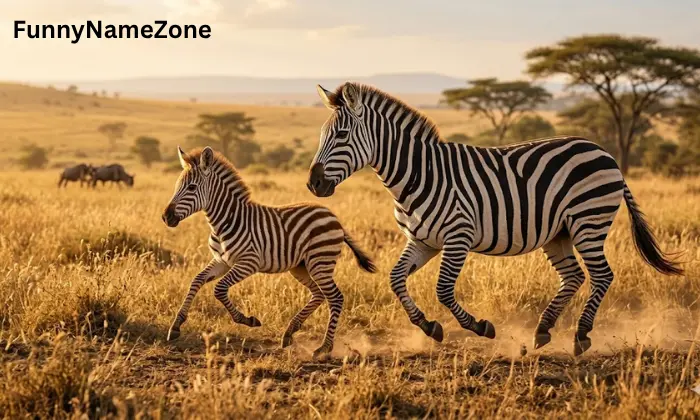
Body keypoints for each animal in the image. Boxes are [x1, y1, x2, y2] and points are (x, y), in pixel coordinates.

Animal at [162, 146, 377, 358]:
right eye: (177, 186)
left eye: (191, 188)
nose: (166, 217)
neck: (226, 221)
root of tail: (332, 215)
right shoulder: (221, 261)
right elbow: (196, 281)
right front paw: (176, 326)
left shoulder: (248, 262)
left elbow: (219, 289)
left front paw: (248, 320)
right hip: (301, 267)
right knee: (319, 294)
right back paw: (290, 333)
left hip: (320, 262)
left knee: (335, 297)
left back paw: (324, 348)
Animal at [306, 82, 683, 356]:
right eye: (322, 136)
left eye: (341, 136)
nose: (313, 184)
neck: (418, 175)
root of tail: (604, 152)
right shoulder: (422, 240)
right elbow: (396, 280)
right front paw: (429, 327)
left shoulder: (457, 237)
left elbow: (443, 289)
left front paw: (479, 327)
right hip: (558, 233)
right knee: (574, 277)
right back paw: (543, 330)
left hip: (588, 222)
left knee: (602, 275)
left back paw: (580, 335)